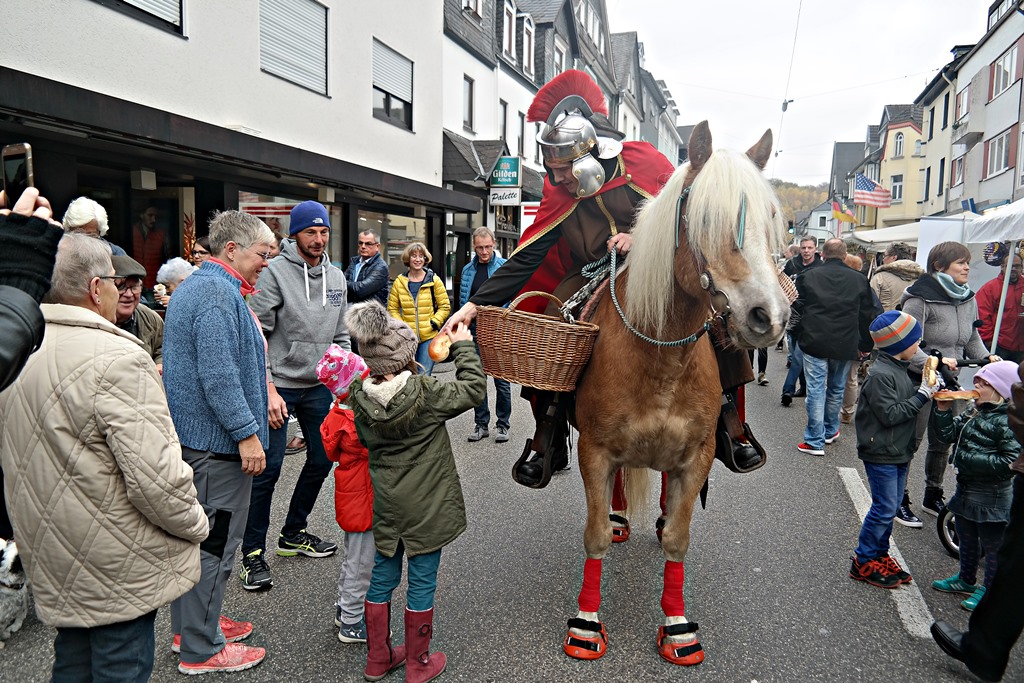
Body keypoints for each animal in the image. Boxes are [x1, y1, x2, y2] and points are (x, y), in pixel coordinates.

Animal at [565, 120, 786, 663]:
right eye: (704, 220)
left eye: (771, 220)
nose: (769, 317)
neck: (661, 359)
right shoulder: (595, 452)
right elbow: (595, 535)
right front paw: (586, 622)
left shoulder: (696, 457)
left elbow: (680, 541)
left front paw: (677, 626)